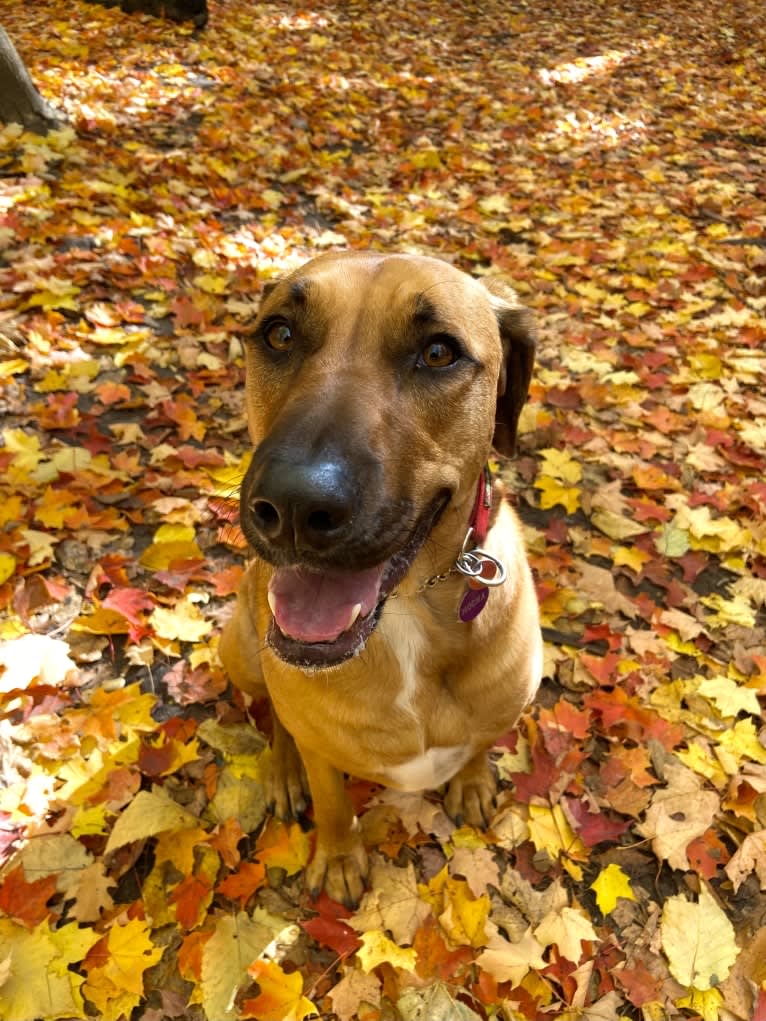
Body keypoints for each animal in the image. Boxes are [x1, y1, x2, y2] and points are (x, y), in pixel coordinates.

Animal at [220, 251, 547, 906]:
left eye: (439, 352)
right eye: (280, 334)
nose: (294, 504)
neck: (409, 609)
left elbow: (480, 744)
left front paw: (472, 780)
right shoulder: (320, 747)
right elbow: (330, 799)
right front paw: (340, 857)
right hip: (239, 646)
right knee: (273, 715)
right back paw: (283, 769)